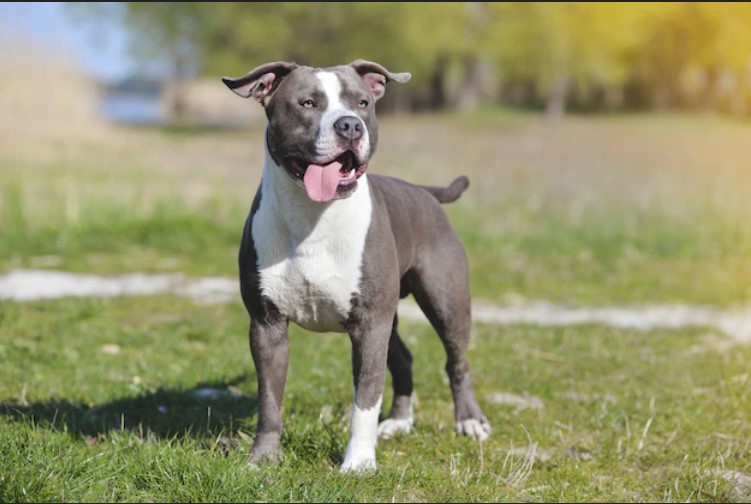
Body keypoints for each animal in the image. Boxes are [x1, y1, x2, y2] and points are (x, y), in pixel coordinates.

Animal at [222, 60, 494, 472]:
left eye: (363, 103)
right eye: (308, 102)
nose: (350, 125)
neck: (313, 216)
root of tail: (424, 192)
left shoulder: (369, 326)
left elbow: (365, 398)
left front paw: (359, 463)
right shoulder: (267, 326)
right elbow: (269, 399)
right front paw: (263, 458)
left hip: (446, 301)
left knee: (456, 361)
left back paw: (470, 421)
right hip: (390, 317)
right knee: (403, 357)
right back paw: (398, 422)